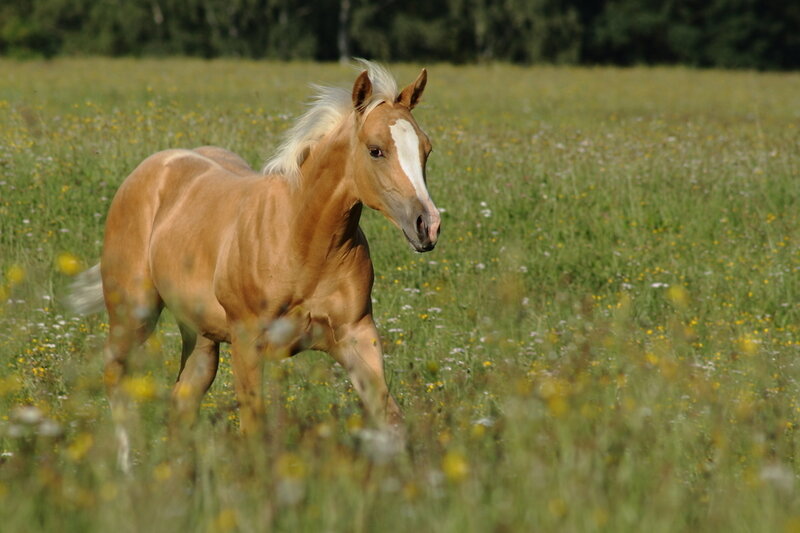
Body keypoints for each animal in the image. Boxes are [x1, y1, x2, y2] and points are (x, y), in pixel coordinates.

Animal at [70, 61, 440, 469]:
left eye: (426, 149)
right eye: (376, 151)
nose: (427, 225)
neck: (301, 242)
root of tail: (151, 168)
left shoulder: (356, 335)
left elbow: (391, 420)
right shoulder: (247, 343)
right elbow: (254, 431)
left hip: (201, 336)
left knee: (183, 398)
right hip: (134, 314)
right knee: (116, 376)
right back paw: (124, 469)